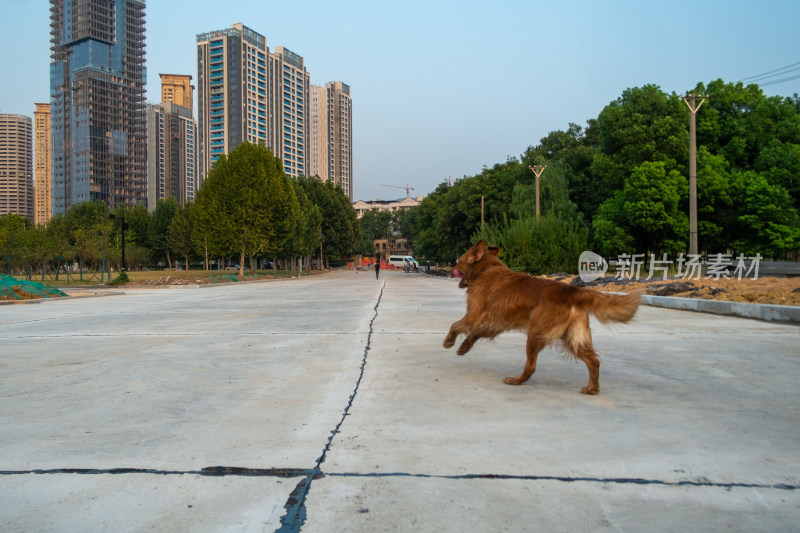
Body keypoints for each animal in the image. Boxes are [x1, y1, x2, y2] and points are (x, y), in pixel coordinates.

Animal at [444, 241, 644, 394]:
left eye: (458, 262)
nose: (449, 269)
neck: (486, 268)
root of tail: (572, 290)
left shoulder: (474, 316)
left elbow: (455, 325)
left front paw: (449, 342)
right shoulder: (493, 324)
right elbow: (474, 335)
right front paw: (463, 347)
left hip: (535, 334)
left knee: (531, 366)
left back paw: (516, 380)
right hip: (573, 338)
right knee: (594, 361)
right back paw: (591, 389)